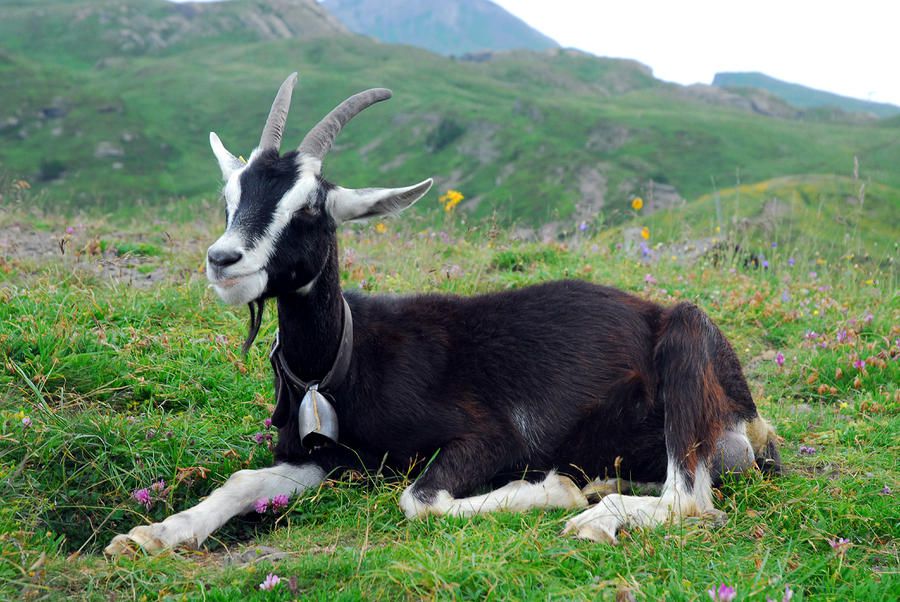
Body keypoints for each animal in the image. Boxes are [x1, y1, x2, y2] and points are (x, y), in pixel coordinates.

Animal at [105, 73, 780, 555]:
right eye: (231, 195)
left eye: (310, 208)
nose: (224, 260)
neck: (344, 360)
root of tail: (753, 416)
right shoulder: (322, 457)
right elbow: (244, 481)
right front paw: (151, 535)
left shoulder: (491, 435)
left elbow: (420, 498)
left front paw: (551, 489)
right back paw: (600, 488)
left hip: (687, 351)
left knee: (690, 500)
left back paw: (591, 514)